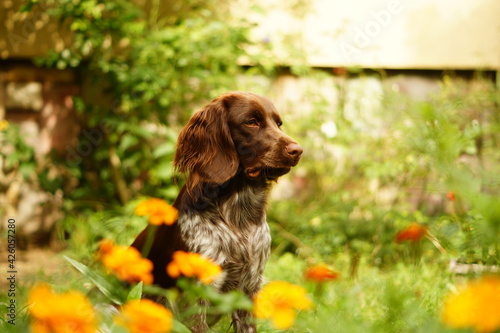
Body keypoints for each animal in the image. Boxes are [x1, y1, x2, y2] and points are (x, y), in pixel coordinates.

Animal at [131, 91, 302, 332]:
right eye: (251, 122)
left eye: (278, 124)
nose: (297, 150)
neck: (239, 219)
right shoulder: (197, 293)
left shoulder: (249, 286)